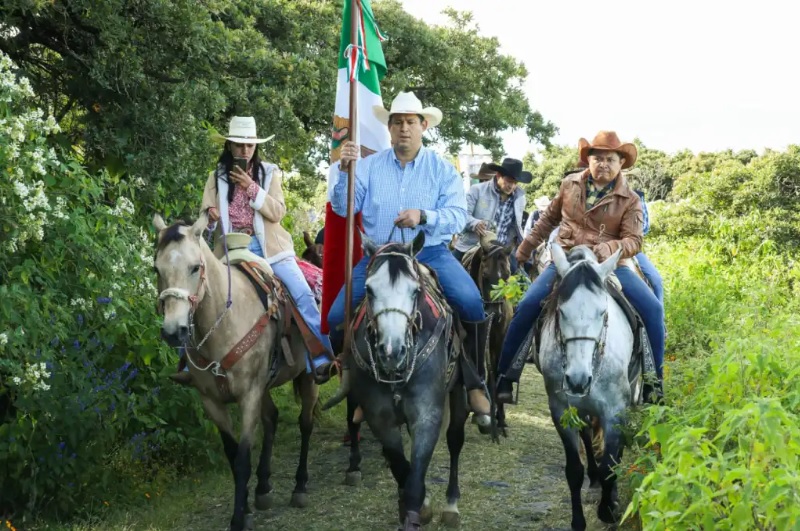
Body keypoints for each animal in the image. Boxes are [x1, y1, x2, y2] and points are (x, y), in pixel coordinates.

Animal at [153, 213, 318, 531]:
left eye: (195, 267)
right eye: (156, 269)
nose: (173, 331)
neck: (225, 321)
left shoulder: (249, 395)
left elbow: (242, 458)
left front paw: (239, 518)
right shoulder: (212, 401)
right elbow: (231, 456)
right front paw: (247, 507)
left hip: (306, 375)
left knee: (306, 423)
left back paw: (301, 486)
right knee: (273, 418)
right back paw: (263, 488)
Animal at [348, 234, 468, 531]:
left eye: (415, 291)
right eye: (369, 290)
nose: (392, 351)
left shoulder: (427, 416)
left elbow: (414, 480)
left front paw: (418, 509)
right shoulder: (379, 418)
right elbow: (403, 469)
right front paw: (417, 507)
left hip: (459, 392)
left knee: (455, 439)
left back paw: (451, 504)